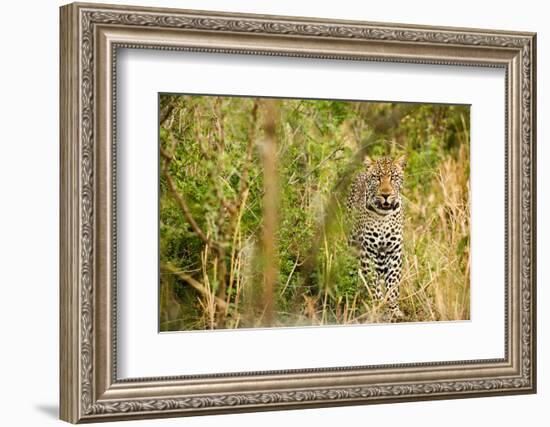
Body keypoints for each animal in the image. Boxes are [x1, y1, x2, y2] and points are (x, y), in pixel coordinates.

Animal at [350, 155, 410, 320]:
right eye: (376, 178)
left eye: (393, 177)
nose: (385, 195)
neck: (383, 217)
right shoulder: (367, 253)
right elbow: (373, 284)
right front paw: (378, 308)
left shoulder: (394, 252)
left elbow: (393, 285)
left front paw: (393, 310)